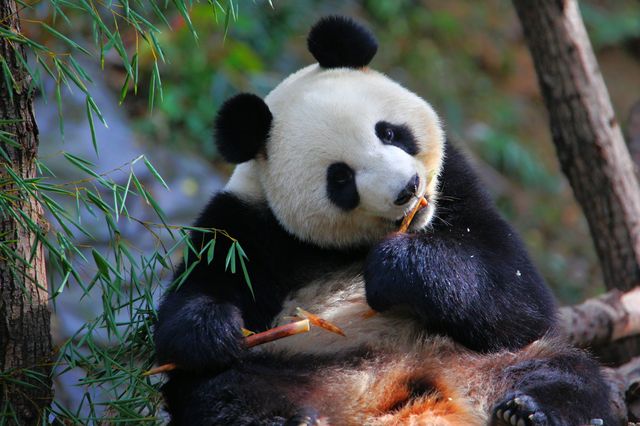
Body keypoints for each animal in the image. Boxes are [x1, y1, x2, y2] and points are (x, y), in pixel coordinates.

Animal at [152, 15, 616, 426]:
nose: (407, 189)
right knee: (224, 391)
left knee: (561, 369)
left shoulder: (458, 187)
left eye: (389, 132)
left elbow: (518, 297)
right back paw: (283, 420)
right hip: (299, 368)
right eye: (340, 178)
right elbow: (188, 315)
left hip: (477, 359)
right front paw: (217, 329)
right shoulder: (246, 226)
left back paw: (526, 411)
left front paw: (397, 267)